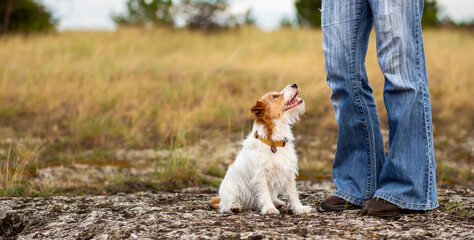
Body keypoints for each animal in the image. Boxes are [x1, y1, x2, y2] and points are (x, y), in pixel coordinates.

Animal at [212, 83, 312, 215]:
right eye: (275, 96)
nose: (294, 84)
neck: (273, 142)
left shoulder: (288, 172)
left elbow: (293, 193)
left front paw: (300, 209)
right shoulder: (261, 175)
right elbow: (264, 194)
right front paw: (269, 208)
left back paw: (277, 202)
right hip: (230, 191)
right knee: (225, 205)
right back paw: (234, 206)